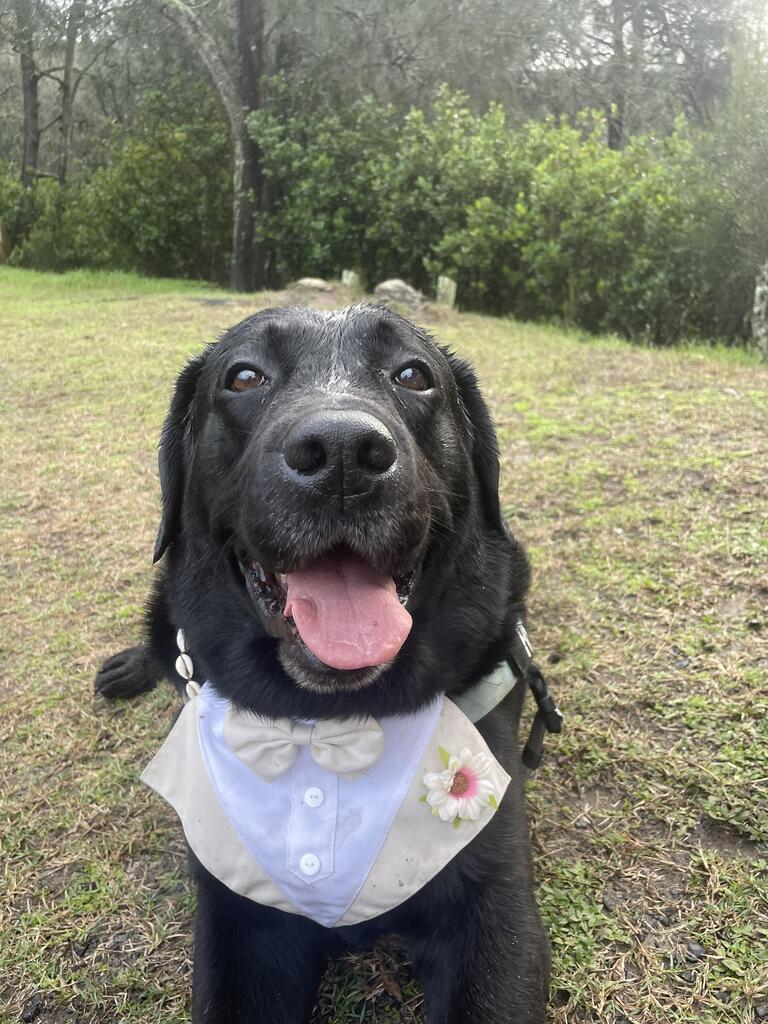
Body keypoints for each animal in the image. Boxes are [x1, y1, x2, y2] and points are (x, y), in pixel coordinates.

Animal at [96, 305, 548, 1024]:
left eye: (413, 374)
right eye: (244, 376)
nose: (342, 455)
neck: (326, 723)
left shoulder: (494, 904)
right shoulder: (241, 915)